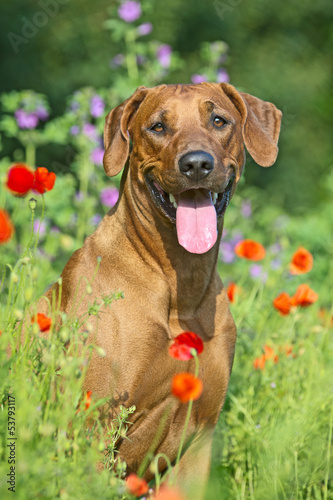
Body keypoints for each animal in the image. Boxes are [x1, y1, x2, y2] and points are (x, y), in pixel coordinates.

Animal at [37, 82, 280, 496]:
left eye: (219, 121)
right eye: (158, 127)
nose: (196, 164)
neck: (180, 287)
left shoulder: (198, 440)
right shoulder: (93, 428)